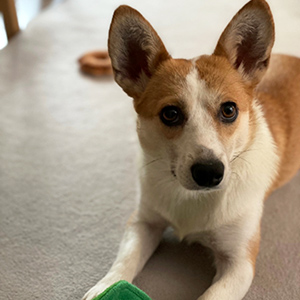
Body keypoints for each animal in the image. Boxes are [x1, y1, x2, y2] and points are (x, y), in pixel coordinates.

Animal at [83, 0, 300, 300]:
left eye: (229, 110)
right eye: (170, 114)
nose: (209, 173)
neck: (192, 199)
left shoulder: (239, 263)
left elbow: (211, 295)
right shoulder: (142, 223)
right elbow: (124, 261)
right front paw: (104, 287)